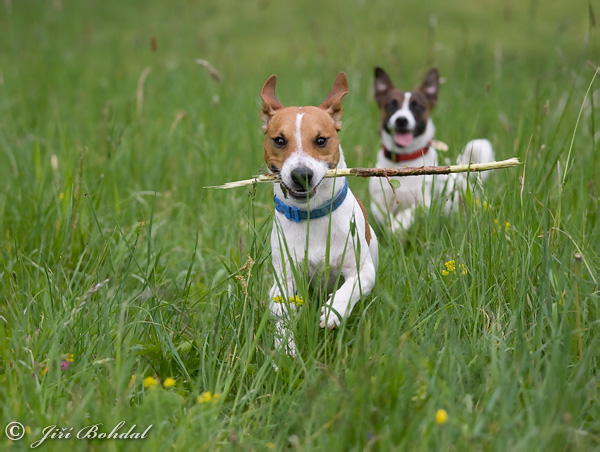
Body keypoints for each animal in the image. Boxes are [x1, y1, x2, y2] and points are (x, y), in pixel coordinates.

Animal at [260, 72, 378, 354]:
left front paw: (335, 310)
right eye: (279, 140)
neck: (311, 216)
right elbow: (282, 309)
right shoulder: (285, 276)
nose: (301, 174)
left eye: (321, 140)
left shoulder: (363, 268)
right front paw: (286, 348)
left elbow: (353, 285)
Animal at [368, 67, 494, 233]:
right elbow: (380, 212)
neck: (404, 161)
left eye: (417, 106)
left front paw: (396, 226)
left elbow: (408, 213)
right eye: (392, 104)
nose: (401, 120)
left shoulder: (425, 203)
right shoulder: (378, 199)